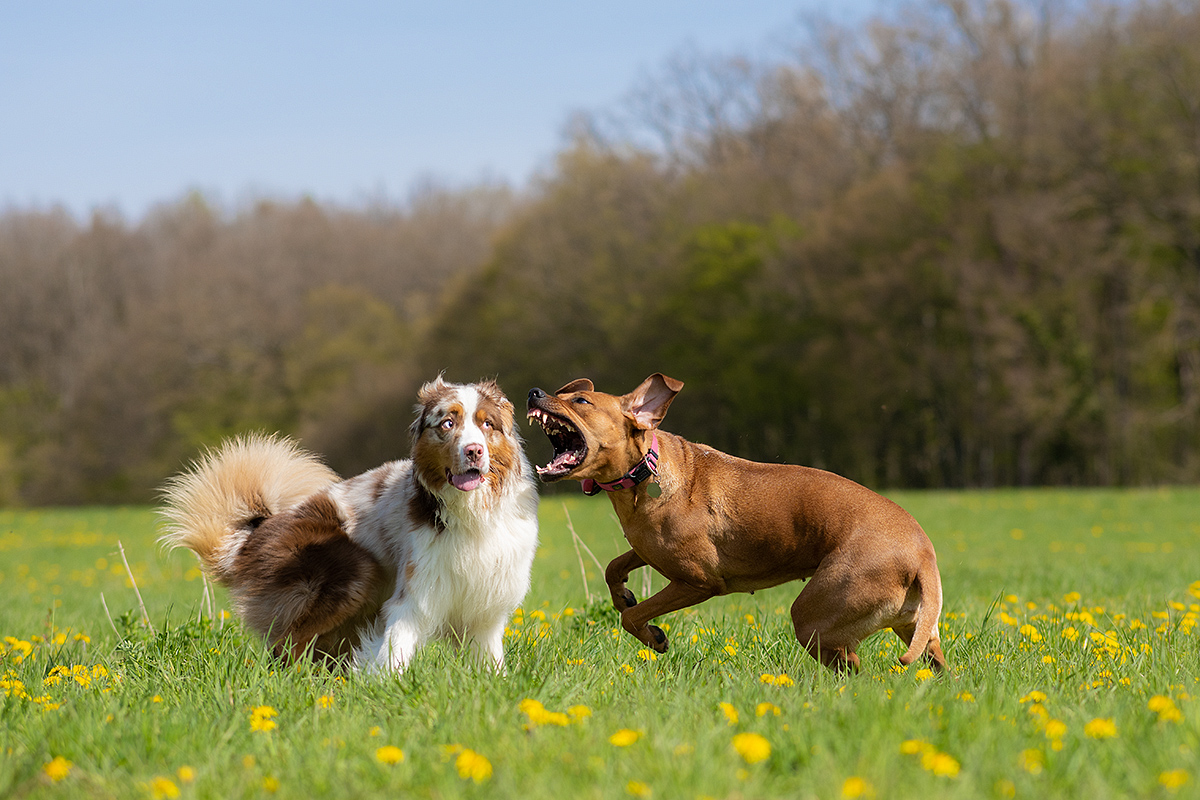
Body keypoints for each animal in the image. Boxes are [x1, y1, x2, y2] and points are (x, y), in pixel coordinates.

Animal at [160, 379, 540, 671]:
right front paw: (387, 687)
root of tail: (253, 535)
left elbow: (490, 662)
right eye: (447, 423)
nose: (474, 450)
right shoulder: (414, 597)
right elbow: (394, 651)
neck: (473, 513)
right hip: (351, 572)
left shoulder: (486, 607)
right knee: (286, 647)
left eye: (487, 424)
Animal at [525, 371, 945, 671]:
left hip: (816, 616)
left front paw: (655, 637)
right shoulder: (646, 547)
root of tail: (924, 554)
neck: (644, 471)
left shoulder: (698, 581)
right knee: (932, 661)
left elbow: (632, 616)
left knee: (854, 668)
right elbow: (614, 568)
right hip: (914, 625)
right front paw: (623, 594)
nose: (533, 392)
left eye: (580, 400)